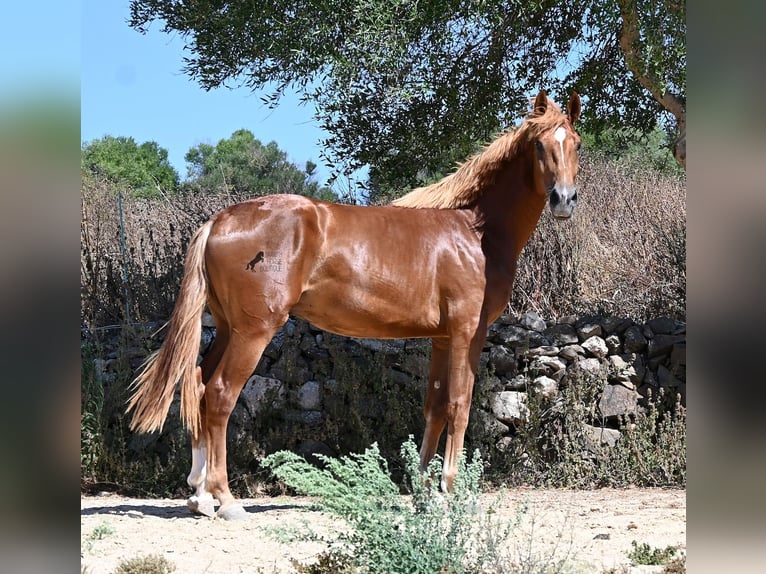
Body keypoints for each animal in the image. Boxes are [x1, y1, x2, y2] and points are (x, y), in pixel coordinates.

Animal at [127, 89, 582, 520]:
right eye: (539, 145)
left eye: (574, 142)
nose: (564, 199)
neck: (474, 231)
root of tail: (219, 221)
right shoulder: (468, 332)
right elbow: (460, 404)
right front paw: (451, 492)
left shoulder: (441, 338)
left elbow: (435, 406)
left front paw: (422, 492)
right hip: (253, 331)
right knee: (221, 393)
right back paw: (226, 499)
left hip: (227, 328)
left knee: (199, 385)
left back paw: (199, 496)